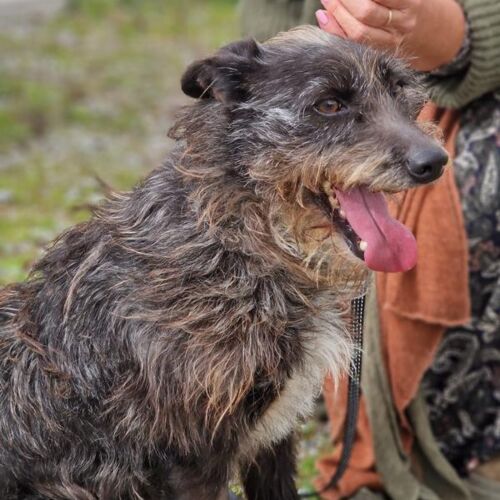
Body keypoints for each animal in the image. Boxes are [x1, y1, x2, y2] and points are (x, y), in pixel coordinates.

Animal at [0, 26, 447, 499]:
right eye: (328, 105)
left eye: (397, 88)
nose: (433, 162)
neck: (239, 243)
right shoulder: (194, 455)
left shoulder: (272, 438)